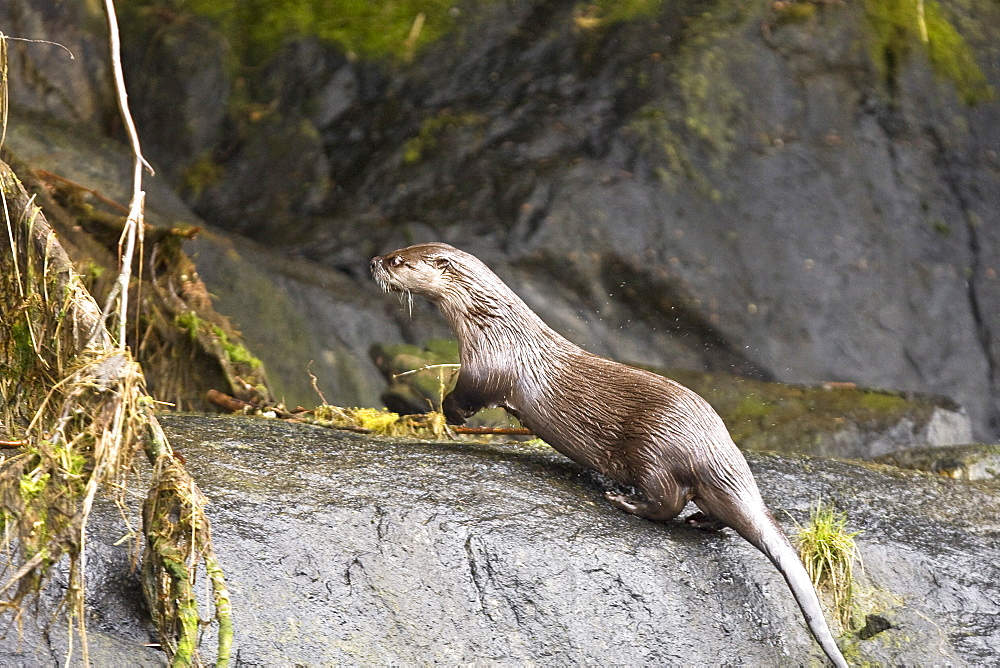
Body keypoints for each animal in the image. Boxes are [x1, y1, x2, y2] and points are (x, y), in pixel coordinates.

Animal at [372, 243, 848, 664]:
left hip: (653, 450)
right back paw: (701, 521)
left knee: (667, 502)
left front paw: (449, 414)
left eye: (399, 260)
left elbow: (469, 394)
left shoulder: (488, 365)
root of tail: (712, 446)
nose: (375, 260)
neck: (491, 323)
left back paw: (624, 501)